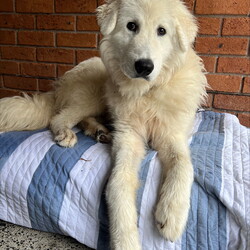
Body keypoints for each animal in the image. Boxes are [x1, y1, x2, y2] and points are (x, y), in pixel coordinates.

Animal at [0, 0, 207, 249]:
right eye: (131, 26)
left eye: (162, 31)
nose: (144, 66)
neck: (145, 93)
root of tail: (60, 86)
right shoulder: (127, 137)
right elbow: (118, 183)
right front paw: (125, 240)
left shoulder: (172, 135)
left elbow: (183, 165)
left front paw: (172, 216)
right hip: (94, 92)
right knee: (58, 117)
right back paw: (69, 134)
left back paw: (100, 131)